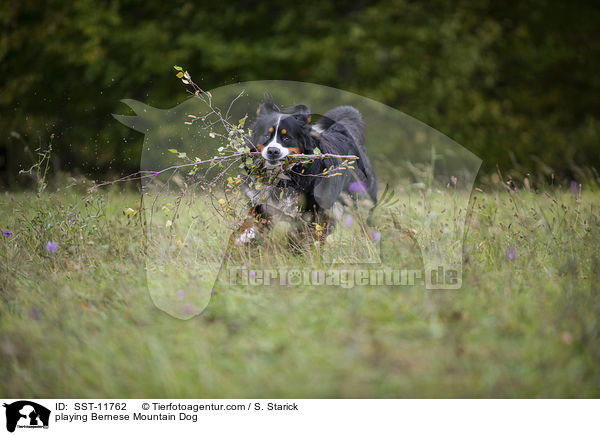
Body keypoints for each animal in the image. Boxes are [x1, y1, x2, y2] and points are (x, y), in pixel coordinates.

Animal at [233, 99, 378, 247]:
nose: (272, 151)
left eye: (286, 138)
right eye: (266, 135)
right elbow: (249, 224)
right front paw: (241, 240)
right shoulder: (262, 204)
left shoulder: (312, 211)